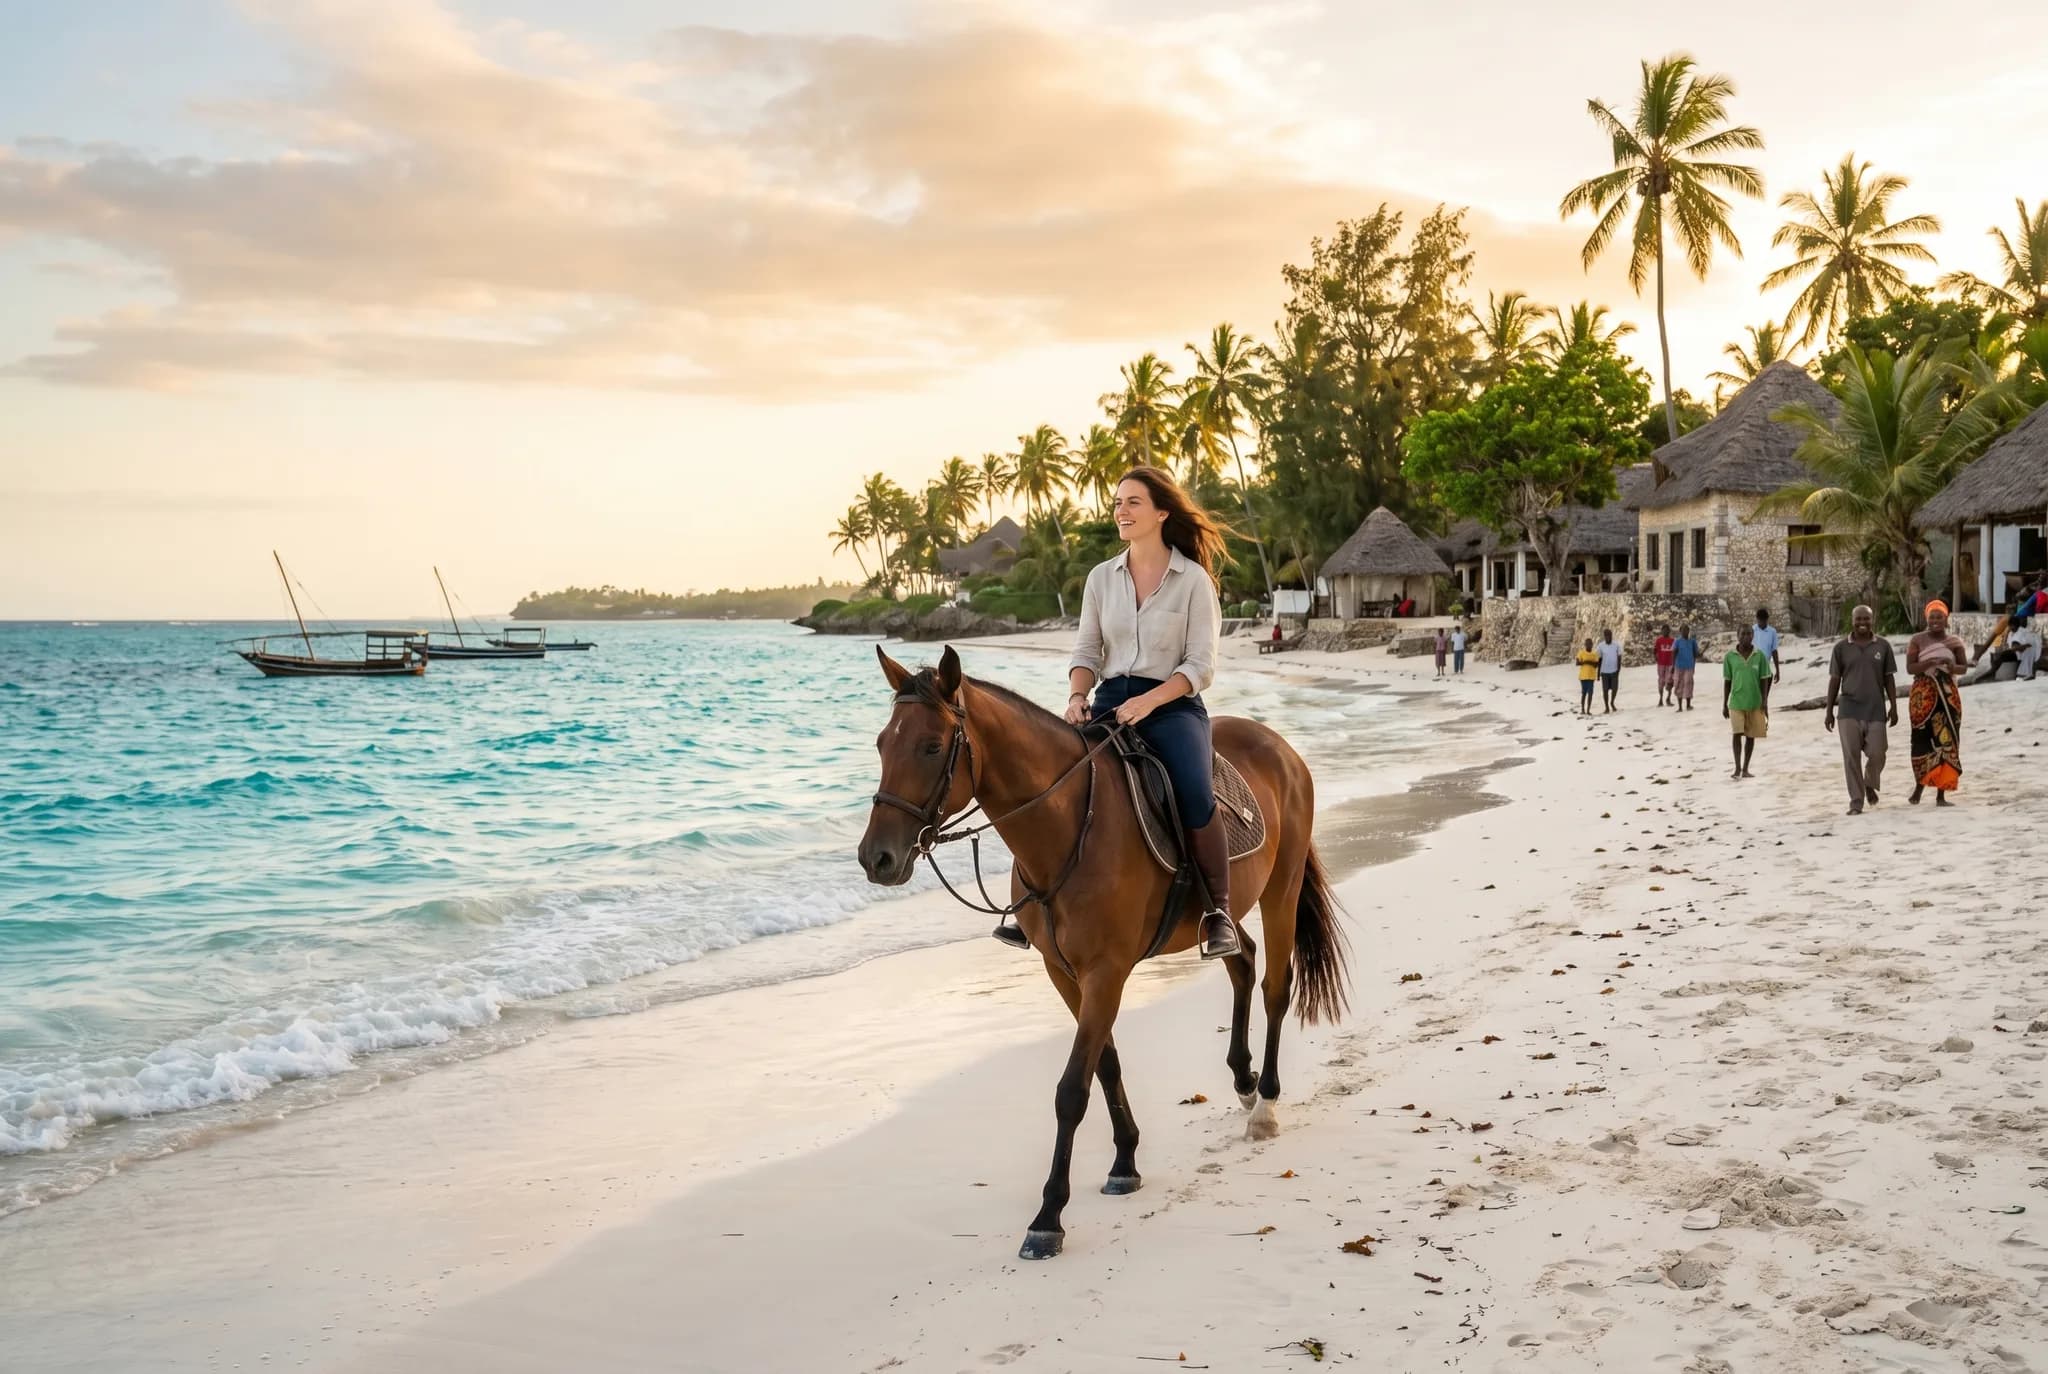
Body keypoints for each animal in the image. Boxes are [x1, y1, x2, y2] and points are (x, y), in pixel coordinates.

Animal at [858, 645, 1350, 1260]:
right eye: (882, 743)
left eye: (929, 746)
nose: (875, 858)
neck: (1070, 824)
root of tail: (1280, 745)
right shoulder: (1065, 972)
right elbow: (1106, 1064)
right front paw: (1125, 1162)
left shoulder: (1106, 972)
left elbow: (1072, 1089)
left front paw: (1048, 1217)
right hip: (1228, 908)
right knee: (1241, 958)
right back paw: (1241, 1080)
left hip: (1280, 890)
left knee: (1275, 988)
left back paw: (1264, 1106)